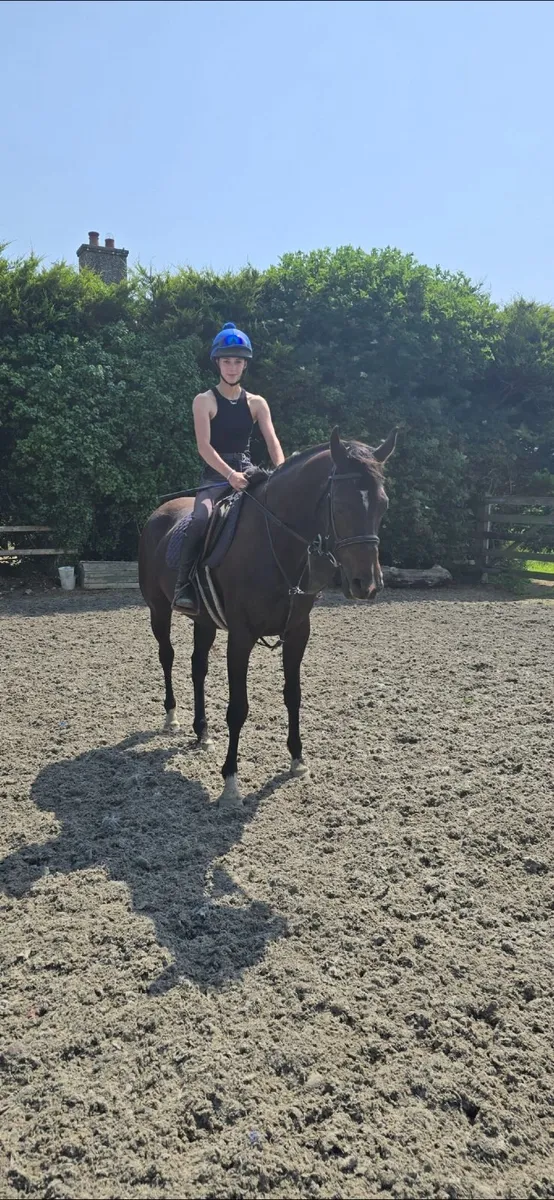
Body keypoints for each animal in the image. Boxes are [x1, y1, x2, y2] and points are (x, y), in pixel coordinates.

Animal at [138, 427, 397, 809]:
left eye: (383, 504)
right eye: (340, 503)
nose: (366, 584)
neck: (273, 541)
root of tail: (159, 514)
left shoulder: (298, 632)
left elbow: (293, 694)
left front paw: (297, 760)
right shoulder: (241, 637)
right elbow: (238, 707)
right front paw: (231, 781)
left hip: (204, 621)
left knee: (198, 667)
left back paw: (202, 732)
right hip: (158, 609)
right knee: (167, 657)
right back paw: (172, 717)